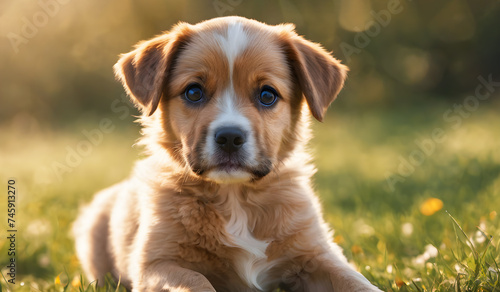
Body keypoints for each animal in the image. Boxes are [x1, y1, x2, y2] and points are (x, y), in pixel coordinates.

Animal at [72, 16, 380, 292]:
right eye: (193, 92)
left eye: (267, 95)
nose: (230, 137)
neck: (235, 198)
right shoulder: (156, 264)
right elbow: (196, 281)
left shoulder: (316, 254)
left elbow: (355, 282)